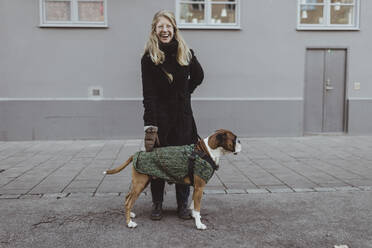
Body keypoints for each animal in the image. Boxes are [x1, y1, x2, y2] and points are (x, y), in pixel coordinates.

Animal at [102, 129, 241, 230]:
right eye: (234, 138)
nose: (240, 141)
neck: (207, 151)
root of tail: (137, 154)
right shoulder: (200, 188)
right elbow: (197, 207)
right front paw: (199, 224)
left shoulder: (197, 188)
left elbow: (193, 205)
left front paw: (194, 215)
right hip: (139, 184)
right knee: (129, 202)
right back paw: (129, 223)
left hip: (140, 183)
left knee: (127, 198)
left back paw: (130, 214)